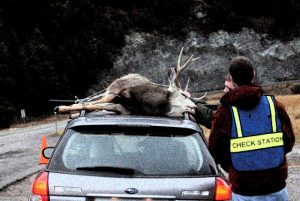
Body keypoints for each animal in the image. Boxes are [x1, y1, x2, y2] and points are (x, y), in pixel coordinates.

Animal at [55, 47, 204, 117]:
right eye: (183, 95)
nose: (195, 107)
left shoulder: (125, 109)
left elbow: (94, 106)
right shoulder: (119, 91)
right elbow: (90, 104)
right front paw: (62, 108)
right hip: (113, 88)